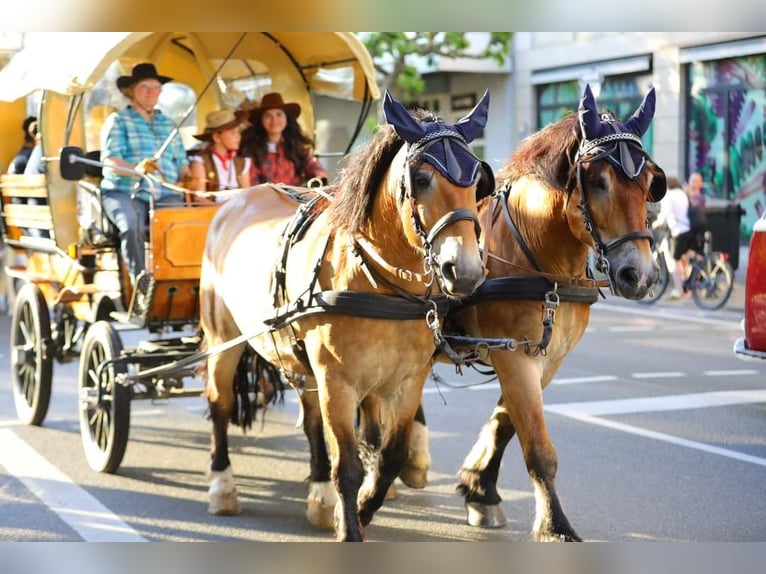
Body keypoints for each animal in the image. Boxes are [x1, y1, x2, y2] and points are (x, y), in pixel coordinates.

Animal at [198, 91, 496, 544]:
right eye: (420, 179)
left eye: (479, 181)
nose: (462, 271)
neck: (378, 281)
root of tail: (236, 200)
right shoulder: (337, 382)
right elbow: (350, 466)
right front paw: (350, 527)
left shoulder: (407, 381)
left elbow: (389, 457)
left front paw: (359, 509)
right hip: (222, 339)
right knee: (220, 403)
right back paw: (222, 486)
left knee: (309, 421)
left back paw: (320, 495)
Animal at [412, 83, 668, 544]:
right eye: (598, 181)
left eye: (648, 184)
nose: (639, 275)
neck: (540, 258)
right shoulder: (513, 355)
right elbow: (537, 445)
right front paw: (555, 525)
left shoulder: (547, 358)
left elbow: (507, 423)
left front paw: (480, 489)